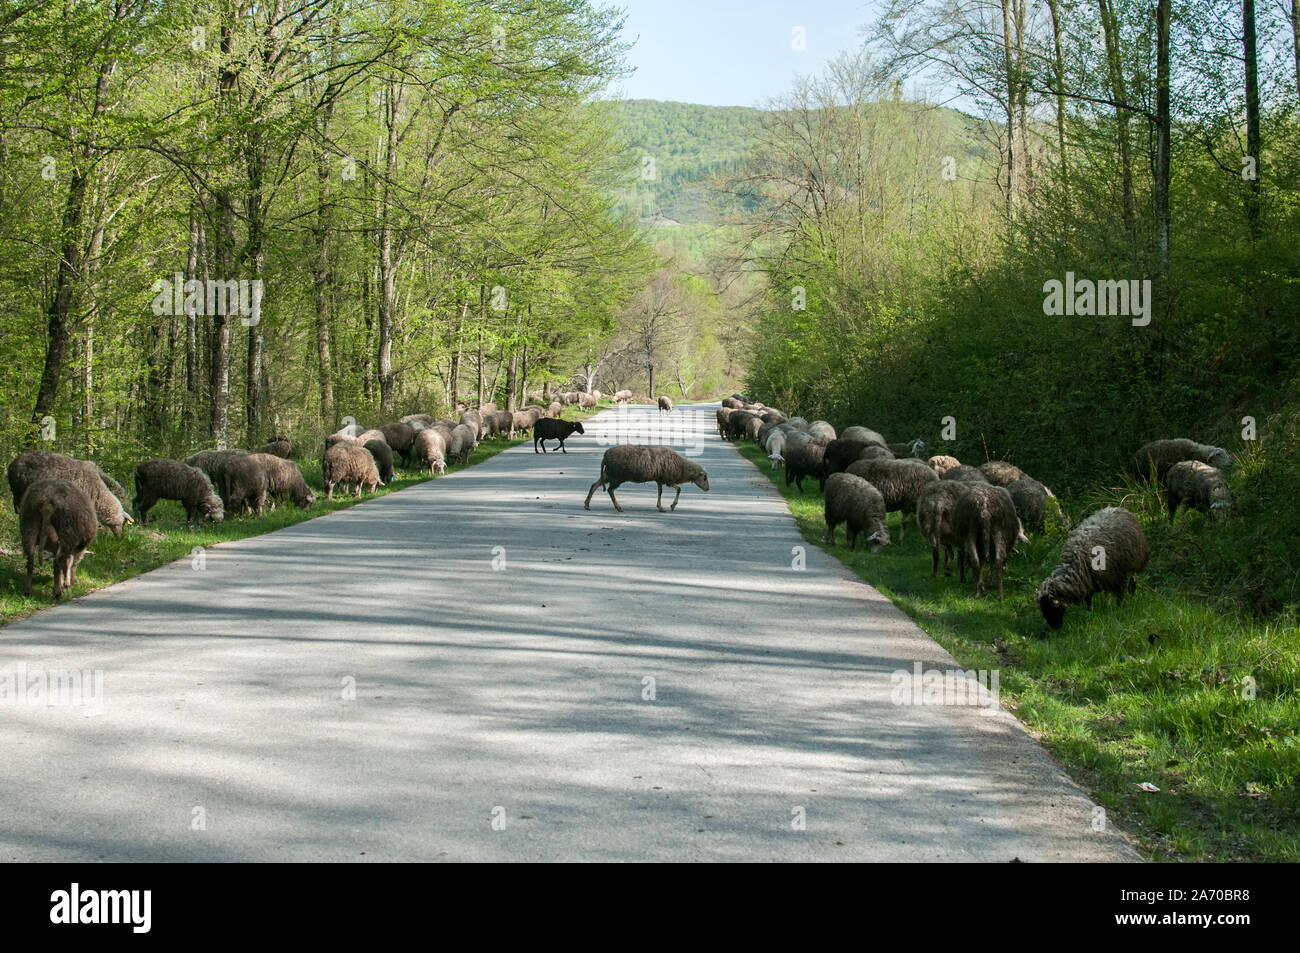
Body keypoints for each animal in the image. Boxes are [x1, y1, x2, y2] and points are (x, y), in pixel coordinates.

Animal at [1034, 501, 1149, 629]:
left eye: (1053, 608)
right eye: (1043, 610)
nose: (1055, 627)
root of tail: (1118, 508)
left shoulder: (1115, 576)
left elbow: (1119, 593)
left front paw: (1120, 608)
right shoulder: (1088, 581)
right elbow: (1088, 600)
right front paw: (1089, 612)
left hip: (1137, 556)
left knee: (1134, 575)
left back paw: (1132, 589)